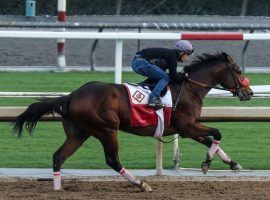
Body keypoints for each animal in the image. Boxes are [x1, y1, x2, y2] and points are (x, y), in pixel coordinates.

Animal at [12, 52, 253, 192]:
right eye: (238, 70)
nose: (248, 92)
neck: (189, 88)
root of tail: (71, 96)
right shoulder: (187, 125)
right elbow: (217, 132)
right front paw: (207, 163)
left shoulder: (186, 128)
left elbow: (211, 140)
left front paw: (231, 163)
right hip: (107, 129)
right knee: (112, 160)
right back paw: (141, 183)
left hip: (79, 133)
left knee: (58, 157)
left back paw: (58, 189)